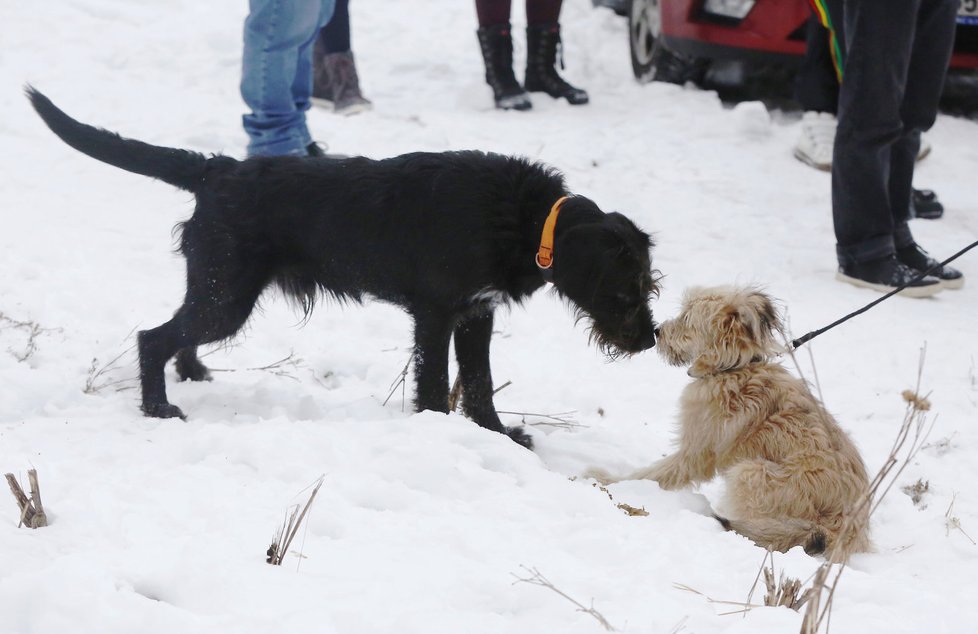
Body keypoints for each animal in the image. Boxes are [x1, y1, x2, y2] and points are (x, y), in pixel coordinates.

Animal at [26, 86, 660, 446]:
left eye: (648, 284)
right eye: (626, 290)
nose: (652, 340)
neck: (525, 219)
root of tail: (217, 170)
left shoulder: (476, 314)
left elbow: (479, 385)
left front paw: (497, 436)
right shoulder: (436, 313)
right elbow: (437, 383)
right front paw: (437, 430)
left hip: (217, 289)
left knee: (176, 335)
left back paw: (193, 374)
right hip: (227, 294)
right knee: (152, 337)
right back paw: (158, 407)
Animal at [588, 286, 868, 556]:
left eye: (687, 319)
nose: (658, 331)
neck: (731, 369)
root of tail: (845, 527)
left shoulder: (694, 453)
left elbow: (654, 473)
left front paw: (608, 481)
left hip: (751, 473)